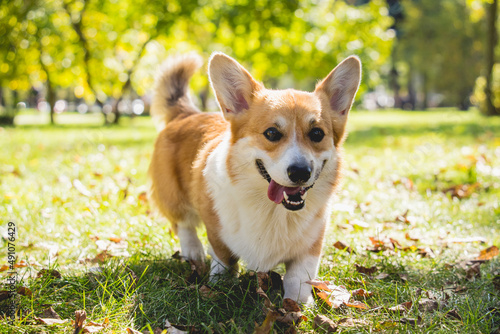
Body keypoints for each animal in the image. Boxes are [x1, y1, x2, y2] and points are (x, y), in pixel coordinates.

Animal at [146, 51, 362, 302]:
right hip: (173, 196)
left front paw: (298, 305)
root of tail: (187, 114)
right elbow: (223, 260)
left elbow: (297, 279)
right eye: (272, 133)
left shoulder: (310, 248)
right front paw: (219, 284)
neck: (273, 211)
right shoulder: (217, 233)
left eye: (317, 133)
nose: (300, 172)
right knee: (183, 224)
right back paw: (193, 252)